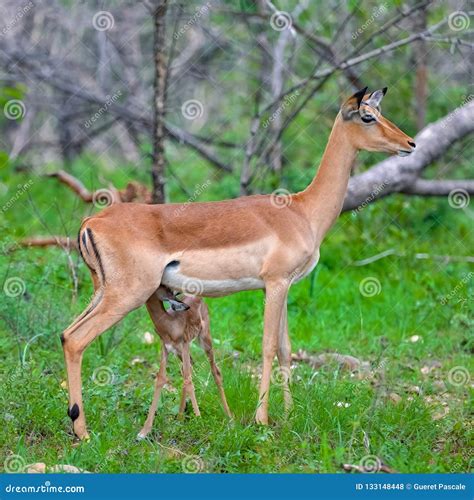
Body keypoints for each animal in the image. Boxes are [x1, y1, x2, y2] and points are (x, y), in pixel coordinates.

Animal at [62, 86, 414, 438]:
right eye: (367, 116)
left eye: (380, 112)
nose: (410, 143)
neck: (302, 211)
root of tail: (92, 221)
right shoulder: (275, 282)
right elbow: (268, 346)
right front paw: (262, 420)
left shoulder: (280, 287)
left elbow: (286, 348)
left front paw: (289, 415)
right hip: (127, 294)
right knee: (77, 339)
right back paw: (84, 432)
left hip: (103, 291)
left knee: (66, 334)